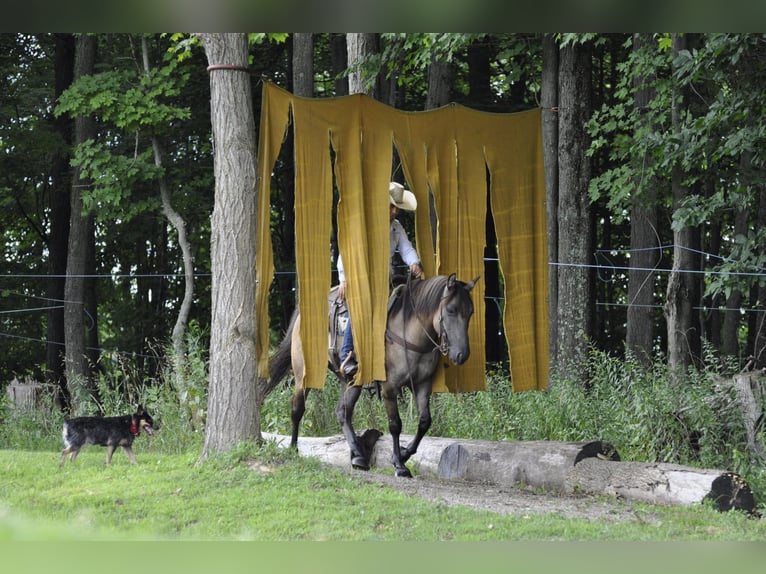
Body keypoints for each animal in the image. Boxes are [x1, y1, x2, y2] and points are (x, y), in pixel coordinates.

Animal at [268, 274, 476, 476]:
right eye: (451, 310)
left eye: (470, 312)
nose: (462, 355)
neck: (409, 333)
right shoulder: (389, 387)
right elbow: (395, 424)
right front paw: (399, 465)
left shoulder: (423, 385)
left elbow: (425, 422)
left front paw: (404, 454)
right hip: (303, 372)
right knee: (298, 408)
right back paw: (294, 449)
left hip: (350, 381)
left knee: (343, 412)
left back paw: (358, 455)